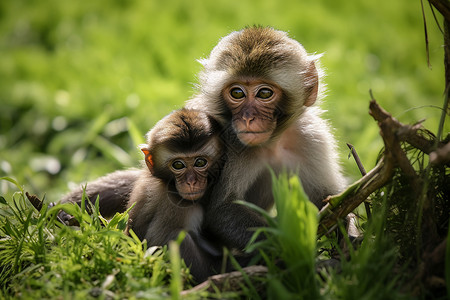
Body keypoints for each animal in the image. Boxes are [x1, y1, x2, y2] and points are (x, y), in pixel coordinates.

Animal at [185, 26, 346, 251]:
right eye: (237, 93)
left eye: (264, 93)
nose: (248, 118)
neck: (271, 144)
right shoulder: (228, 142)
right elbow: (223, 210)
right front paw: (291, 246)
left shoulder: (312, 137)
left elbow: (328, 196)